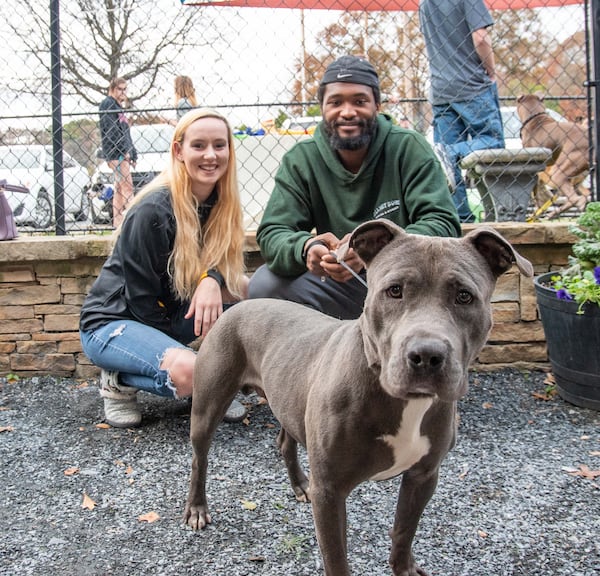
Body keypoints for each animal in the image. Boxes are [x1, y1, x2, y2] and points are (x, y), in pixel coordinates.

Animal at [184, 219, 536, 576]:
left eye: (464, 296)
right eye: (394, 290)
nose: (426, 355)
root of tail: (238, 305)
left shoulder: (423, 476)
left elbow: (404, 530)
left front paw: (404, 568)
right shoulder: (330, 491)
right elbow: (336, 558)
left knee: (285, 441)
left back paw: (300, 484)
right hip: (208, 406)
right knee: (200, 458)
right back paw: (197, 508)